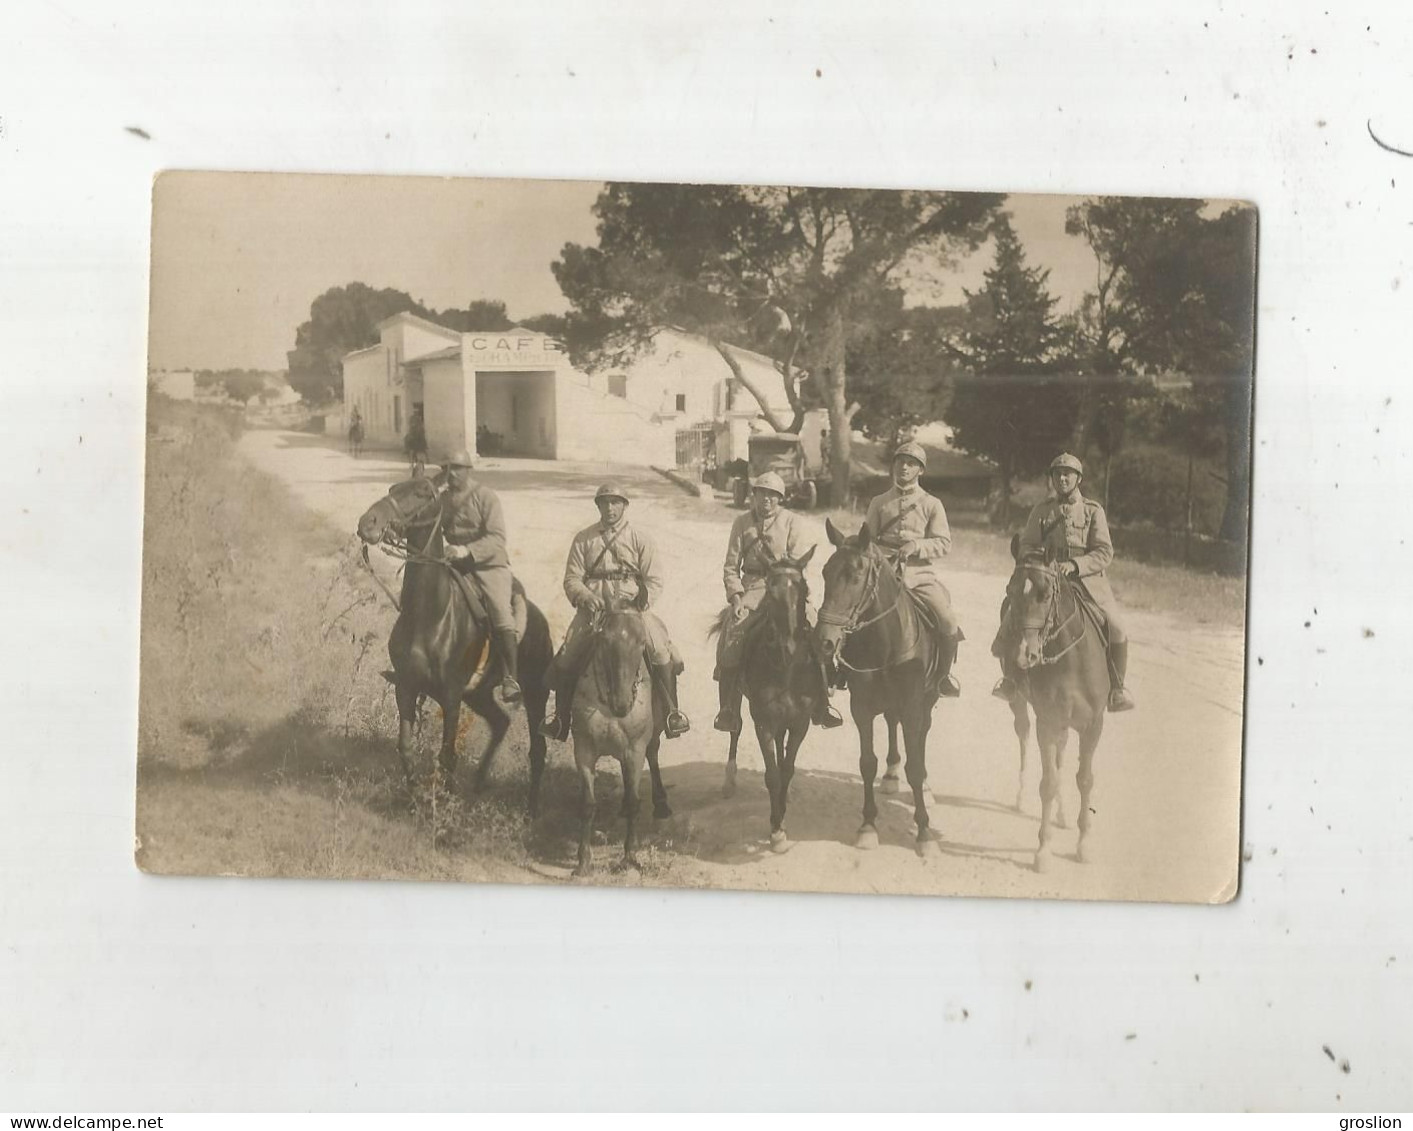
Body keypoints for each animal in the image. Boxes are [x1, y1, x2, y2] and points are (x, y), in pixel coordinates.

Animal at [353, 475, 551, 814]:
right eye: (392, 489)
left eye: (421, 493)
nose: (368, 522)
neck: (430, 615)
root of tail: (543, 623)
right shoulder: (406, 688)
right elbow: (406, 747)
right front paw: (413, 799)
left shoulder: (451, 697)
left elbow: (447, 755)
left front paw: (444, 806)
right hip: (478, 694)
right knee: (500, 722)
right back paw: (480, 782)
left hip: (534, 696)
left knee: (537, 751)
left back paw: (532, 810)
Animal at [565, 599, 669, 876]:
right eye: (603, 640)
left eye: (642, 642)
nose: (622, 704)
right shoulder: (584, 750)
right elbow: (587, 804)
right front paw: (583, 861)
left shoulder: (635, 749)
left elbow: (634, 801)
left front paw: (629, 857)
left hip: (650, 739)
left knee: (653, 757)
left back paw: (661, 804)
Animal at [712, 551, 825, 853]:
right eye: (771, 594)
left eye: (804, 589)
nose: (790, 647)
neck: (786, 669)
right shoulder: (762, 722)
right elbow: (772, 775)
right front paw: (776, 830)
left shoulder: (800, 723)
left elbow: (787, 770)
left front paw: (782, 813)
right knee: (734, 728)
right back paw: (729, 781)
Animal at [813, 520, 943, 859]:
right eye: (825, 572)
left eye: (855, 576)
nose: (825, 641)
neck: (887, 642)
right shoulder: (862, 708)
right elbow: (867, 763)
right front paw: (868, 826)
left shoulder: (912, 708)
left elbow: (915, 765)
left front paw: (924, 832)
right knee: (891, 724)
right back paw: (891, 773)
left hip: (927, 701)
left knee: (922, 736)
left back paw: (926, 786)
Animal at [1011, 551, 1107, 870]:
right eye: (1011, 591)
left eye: (1044, 594)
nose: (1023, 654)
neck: (1073, 659)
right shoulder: (1048, 722)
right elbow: (1048, 782)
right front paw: (1043, 849)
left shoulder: (1093, 725)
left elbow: (1085, 780)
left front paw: (1084, 844)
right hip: (1021, 707)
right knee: (1024, 738)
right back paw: (1020, 797)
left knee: (1063, 757)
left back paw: (1063, 815)